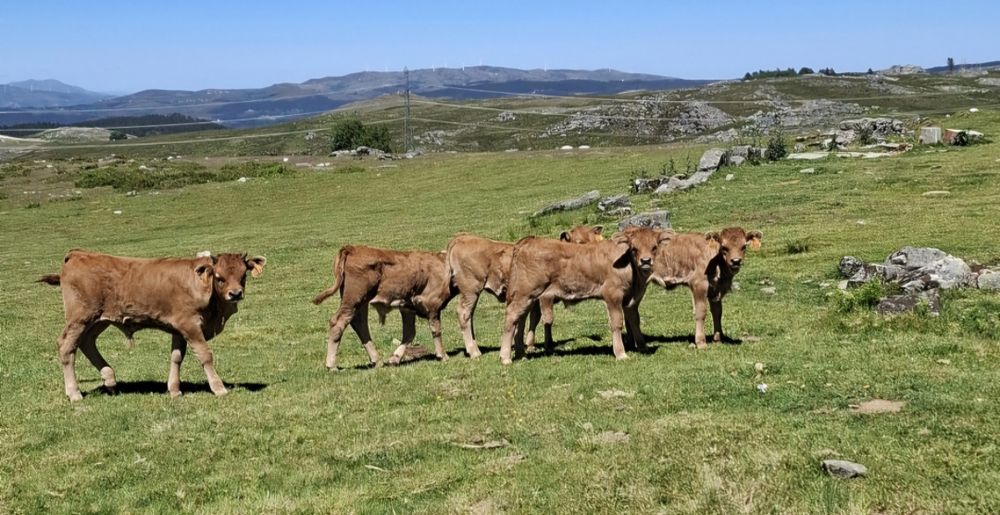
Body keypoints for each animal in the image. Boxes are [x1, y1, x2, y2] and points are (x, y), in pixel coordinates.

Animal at [39, 250, 266, 401]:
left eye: (243, 275)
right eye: (219, 277)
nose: (235, 294)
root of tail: (77, 254)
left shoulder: (178, 327)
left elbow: (176, 357)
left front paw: (174, 389)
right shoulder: (190, 325)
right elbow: (204, 355)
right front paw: (218, 388)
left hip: (97, 320)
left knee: (87, 343)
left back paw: (110, 380)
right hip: (79, 318)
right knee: (67, 347)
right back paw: (74, 393)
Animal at [312, 245, 456, 371]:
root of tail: (352, 248)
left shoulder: (407, 308)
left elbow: (409, 333)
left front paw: (395, 358)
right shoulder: (433, 305)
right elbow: (436, 330)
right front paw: (442, 355)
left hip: (361, 302)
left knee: (360, 324)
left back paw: (377, 360)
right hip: (353, 299)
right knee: (338, 323)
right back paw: (332, 365)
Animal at [445, 225, 604, 358]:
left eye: (599, 241)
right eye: (580, 242)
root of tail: (462, 238)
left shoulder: (533, 300)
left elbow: (532, 319)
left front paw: (529, 345)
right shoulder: (545, 297)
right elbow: (547, 319)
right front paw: (547, 345)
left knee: (469, 316)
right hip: (471, 289)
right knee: (464, 313)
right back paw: (474, 351)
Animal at [498, 226, 672, 364]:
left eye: (654, 247)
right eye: (634, 248)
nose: (645, 261)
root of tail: (528, 241)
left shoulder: (631, 300)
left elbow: (635, 321)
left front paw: (643, 347)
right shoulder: (612, 295)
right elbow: (617, 323)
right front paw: (621, 353)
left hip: (527, 297)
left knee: (520, 320)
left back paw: (520, 354)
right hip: (525, 293)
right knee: (512, 316)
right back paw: (505, 357)